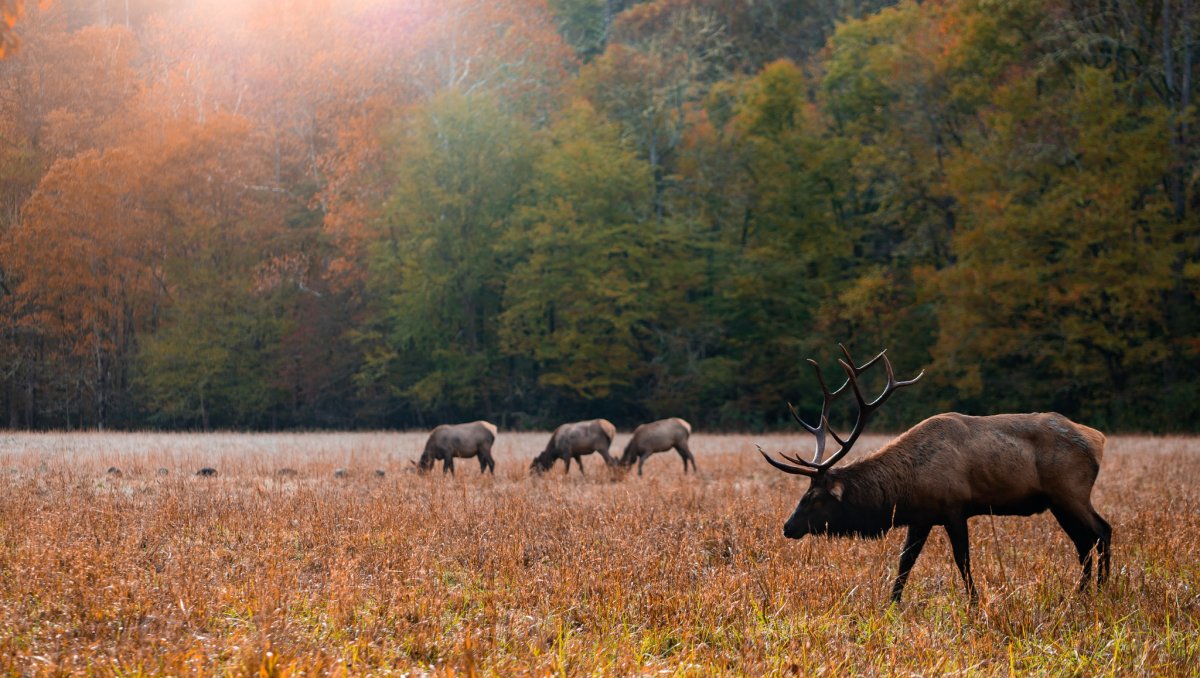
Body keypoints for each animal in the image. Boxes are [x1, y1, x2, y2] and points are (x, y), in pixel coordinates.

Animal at [763, 343, 1108, 602]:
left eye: (814, 497)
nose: (787, 527)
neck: (905, 487)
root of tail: (1097, 439)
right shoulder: (921, 516)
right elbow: (905, 561)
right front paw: (891, 604)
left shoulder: (954, 507)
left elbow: (962, 560)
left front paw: (974, 603)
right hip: (1058, 502)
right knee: (1084, 543)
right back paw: (1082, 593)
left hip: (1071, 492)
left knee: (1101, 532)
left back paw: (1101, 590)